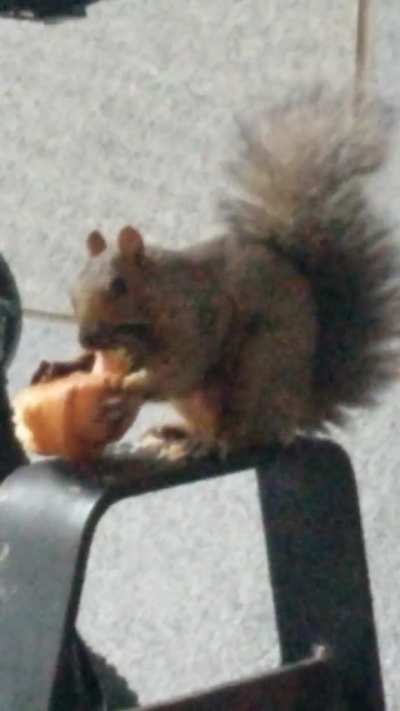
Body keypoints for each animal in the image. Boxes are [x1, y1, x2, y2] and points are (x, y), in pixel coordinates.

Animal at [32, 87, 400, 460]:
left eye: (118, 286)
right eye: (72, 292)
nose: (86, 338)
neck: (158, 294)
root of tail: (295, 409)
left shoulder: (199, 318)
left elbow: (181, 366)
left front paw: (129, 387)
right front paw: (69, 366)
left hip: (259, 371)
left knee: (241, 433)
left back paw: (211, 441)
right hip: (199, 400)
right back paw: (181, 434)